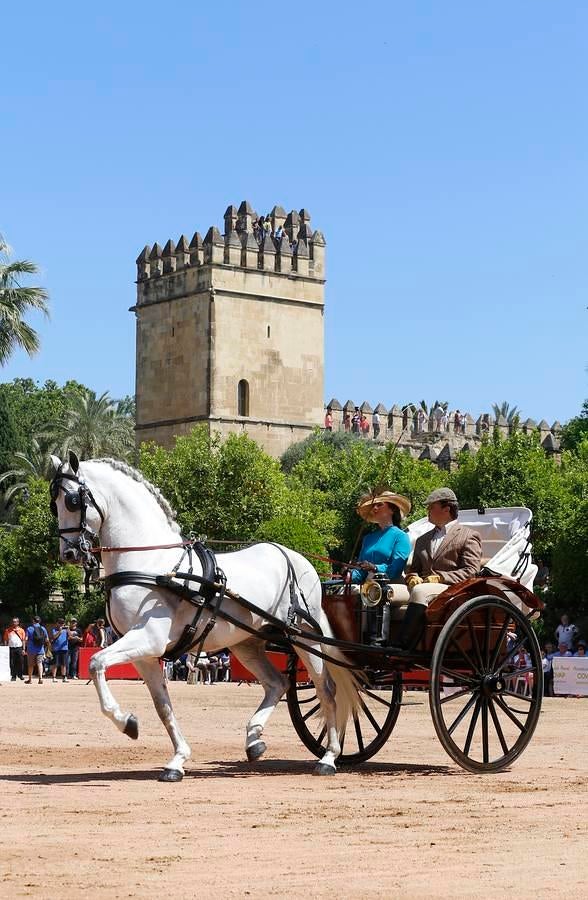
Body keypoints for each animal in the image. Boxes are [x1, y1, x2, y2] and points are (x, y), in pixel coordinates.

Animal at [50, 454, 356, 784]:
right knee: (277, 683)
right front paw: (176, 759)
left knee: (326, 690)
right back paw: (254, 739)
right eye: (53, 503)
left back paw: (329, 757)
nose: (69, 553)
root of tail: (299, 559)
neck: (151, 563)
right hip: (246, 642)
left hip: (301, 636)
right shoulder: (146, 654)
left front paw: (127, 722)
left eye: (72, 500)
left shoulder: (148, 639)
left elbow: (95, 663)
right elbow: (163, 706)